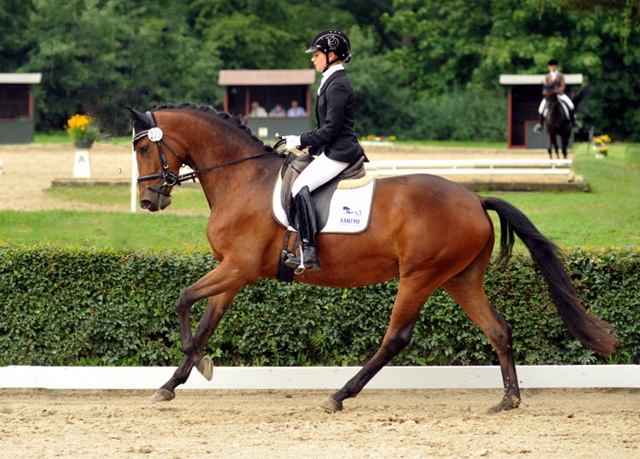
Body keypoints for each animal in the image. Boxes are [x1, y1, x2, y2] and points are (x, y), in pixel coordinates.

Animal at [126, 103, 616, 414]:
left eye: (144, 148)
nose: (149, 202)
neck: (240, 178)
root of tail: (475, 199)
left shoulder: (239, 268)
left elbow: (183, 302)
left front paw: (200, 366)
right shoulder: (231, 271)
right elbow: (204, 322)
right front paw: (171, 385)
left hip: (419, 275)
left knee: (395, 338)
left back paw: (339, 396)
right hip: (459, 279)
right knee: (498, 329)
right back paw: (509, 400)